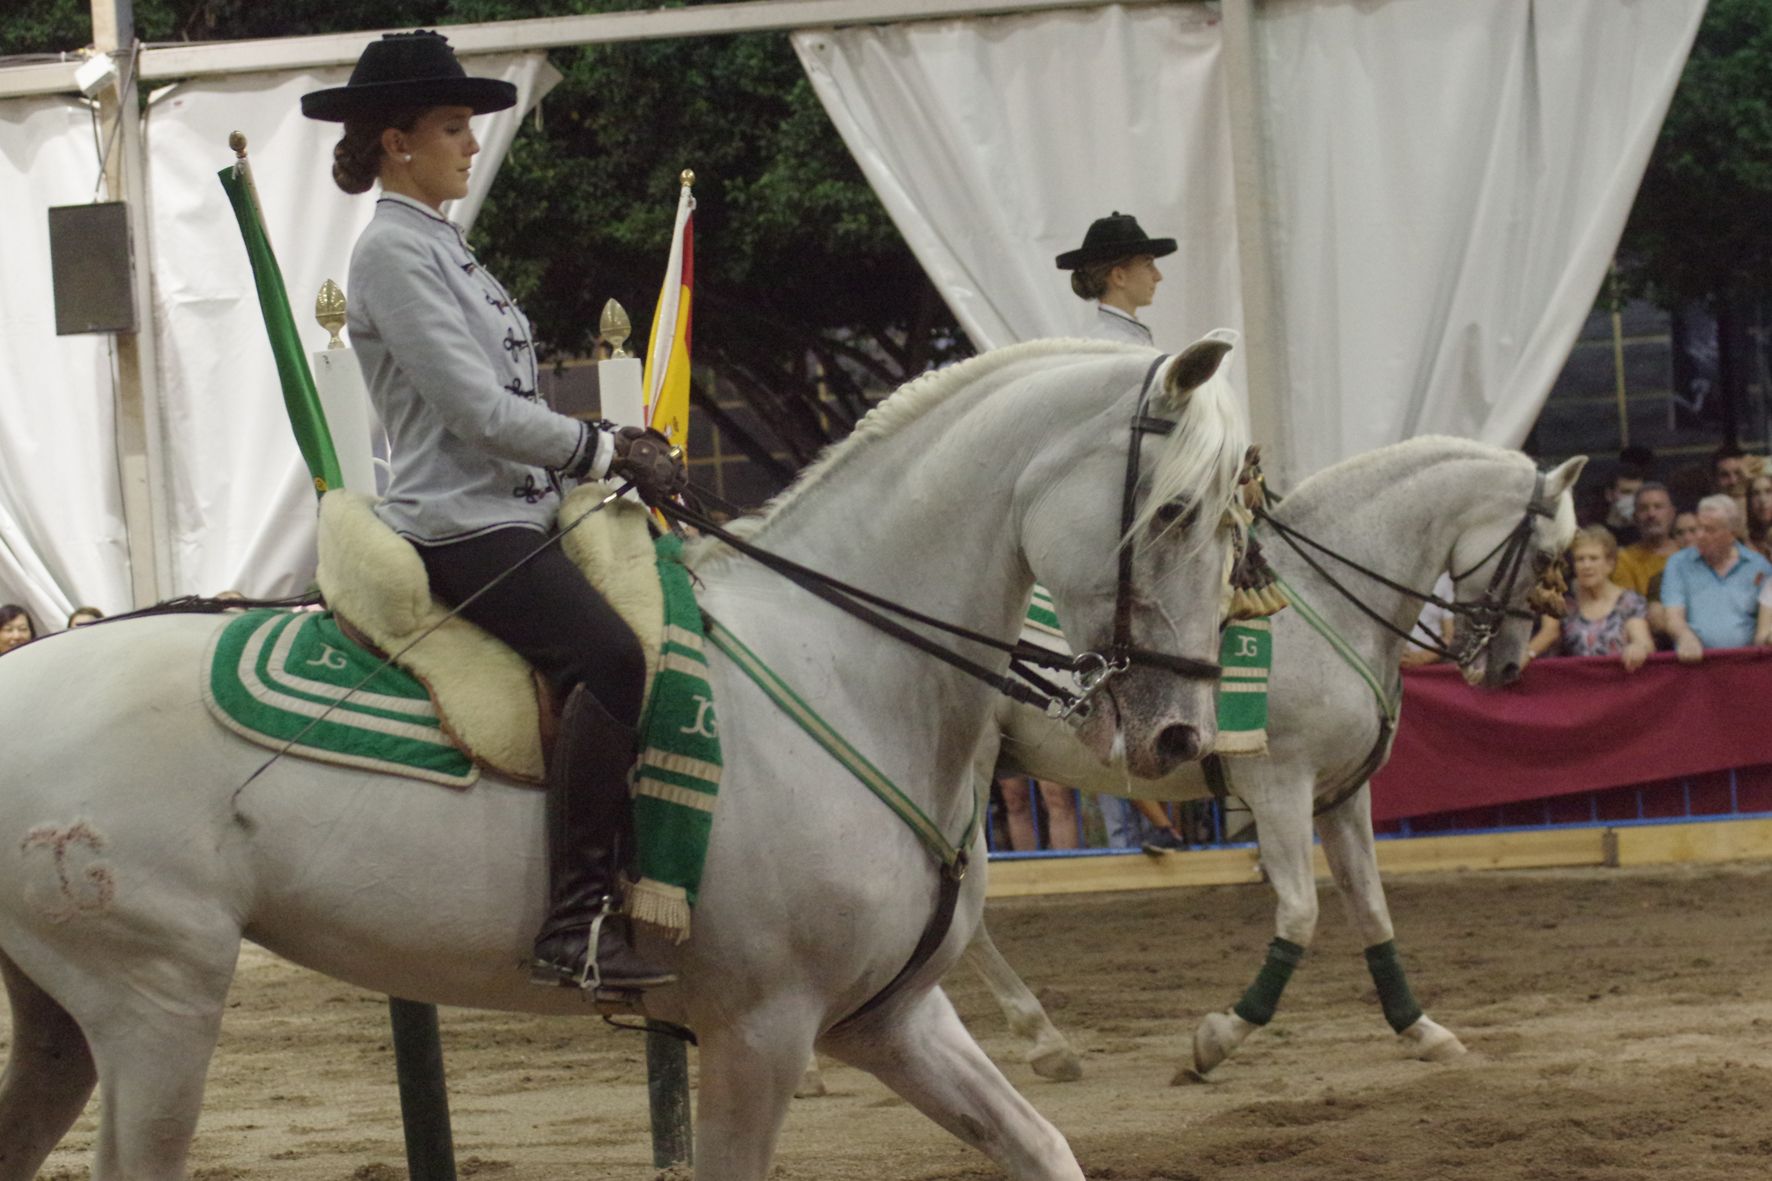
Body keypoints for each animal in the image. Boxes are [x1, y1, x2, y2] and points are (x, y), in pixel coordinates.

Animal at [0, 335, 1254, 1170]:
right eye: (1175, 513)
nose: (1179, 732)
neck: (843, 664)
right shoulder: (760, 1031)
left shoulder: (891, 1019)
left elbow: (1040, 1144)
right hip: (155, 1003)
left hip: (61, 1020)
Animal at [878, 434, 1587, 1085]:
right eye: (1545, 557)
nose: (1506, 667)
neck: (1326, 601)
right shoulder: (1280, 788)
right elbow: (1300, 916)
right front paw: (1218, 1037)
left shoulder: (1341, 795)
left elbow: (1372, 910)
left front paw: (1420, 1028)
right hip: (967, 779)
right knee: (966, 917)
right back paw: (1043, 1040)